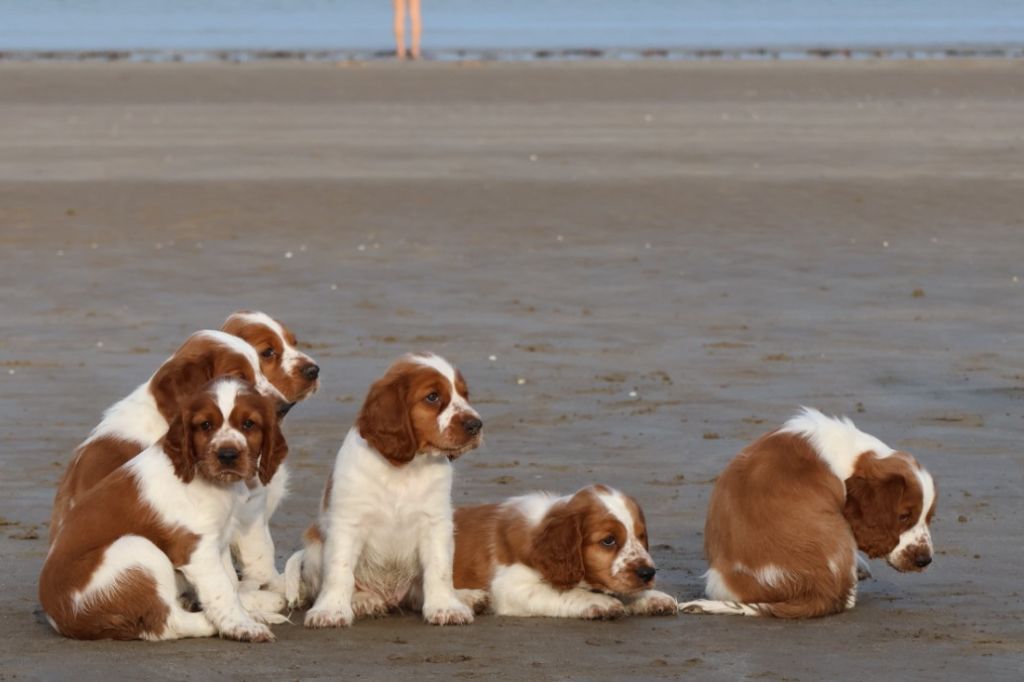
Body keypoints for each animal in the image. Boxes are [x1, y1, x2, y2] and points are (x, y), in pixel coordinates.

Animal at [38, 376, 288, 638]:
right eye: (206, 425)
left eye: (249, 424)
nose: (227, 455)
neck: (205, 477)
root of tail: (61, 620)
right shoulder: (197, 549)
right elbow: (222, 590)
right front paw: (242, 626)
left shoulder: (218, 541)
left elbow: (229, 582)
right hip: (136, 548)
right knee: (167, 622)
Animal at [282, 352, 485, 622]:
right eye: (432, 396)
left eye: (464, 394)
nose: (476, 425)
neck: (404, 469)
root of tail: (389, 597)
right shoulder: (348, 523)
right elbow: (339, 570)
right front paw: (331, 610)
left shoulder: (436, 522)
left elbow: (439, 568)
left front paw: (445, 606)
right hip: (314, 545)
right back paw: (363, 600)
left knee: (417, 593)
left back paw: (466, 597)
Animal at [454, 483, 679, 614]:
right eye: (608, 540)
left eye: (641, 536)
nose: (647, 573)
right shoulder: (509, 587)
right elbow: (564, 592)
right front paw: (600, 602)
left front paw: (652, 597)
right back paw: (471, 598)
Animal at [679, 405, 937, 618]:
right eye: (904, 516)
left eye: (929, 518)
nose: (924, 561)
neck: (851, 456)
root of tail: (817, 591)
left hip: (717, 581)